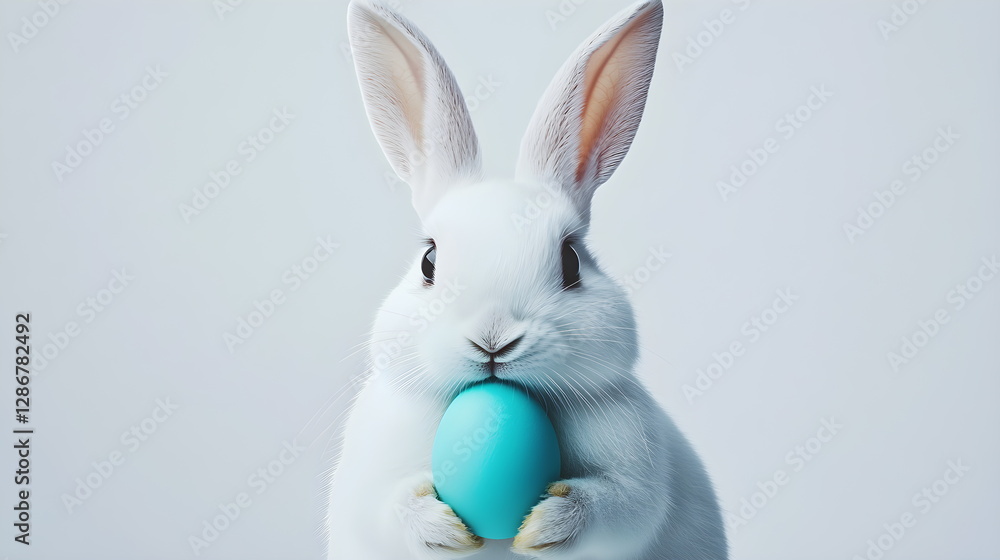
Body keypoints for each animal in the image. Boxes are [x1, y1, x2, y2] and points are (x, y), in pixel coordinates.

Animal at [326, 1, 728, 559]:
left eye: (571, 261)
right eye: (429, 262)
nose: (493, 339)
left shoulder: (636, 472)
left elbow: (615, 506)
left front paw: (544, 525)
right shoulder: (369, 478)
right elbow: (391, 509)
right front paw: (446, 530)